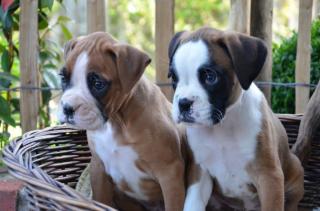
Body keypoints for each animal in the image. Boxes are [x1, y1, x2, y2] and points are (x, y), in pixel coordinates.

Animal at [58, 31, 186, 211]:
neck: (117, 121)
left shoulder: (170, 173)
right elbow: (100, 199)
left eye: (98, 84)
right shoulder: (99, 169)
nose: (67, 108)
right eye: (63, 78)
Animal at [166, 26, 304, 211]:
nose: (183, 103)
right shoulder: (199, 172)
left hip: (295, 170)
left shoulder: (269, 177)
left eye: (210, 77)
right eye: (174, 77)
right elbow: (193, 204)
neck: (222, 127)